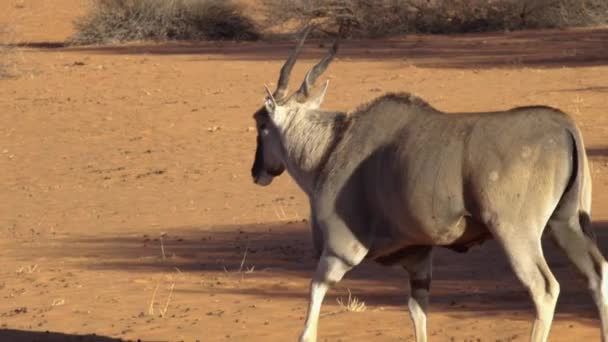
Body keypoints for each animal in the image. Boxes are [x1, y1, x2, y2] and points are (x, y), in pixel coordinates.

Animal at [249, 25, 604, 340]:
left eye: (261, 123)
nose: (258, 172)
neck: (332, 145)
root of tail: (563, 126)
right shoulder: (418, 258)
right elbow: (418, 312)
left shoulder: (340, 250)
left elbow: (312, 302)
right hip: (565, 225)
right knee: (597, 274)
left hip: (515, 232)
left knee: (544, 288)